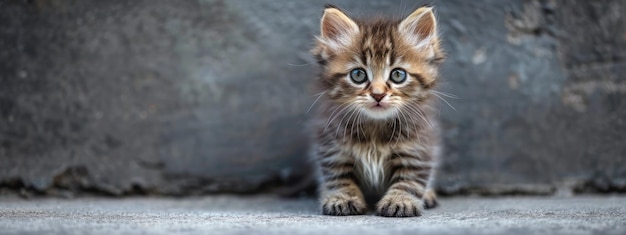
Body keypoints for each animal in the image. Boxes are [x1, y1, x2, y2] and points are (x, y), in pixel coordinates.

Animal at [310, 4, 442, 218]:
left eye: (398, 75)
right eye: (358, 75)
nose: (378, 94)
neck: (375, 128)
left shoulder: (418, 147)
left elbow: (409, 179)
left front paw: (401, 200)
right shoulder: (332, 147)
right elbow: (339, 176)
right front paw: (343, 198)